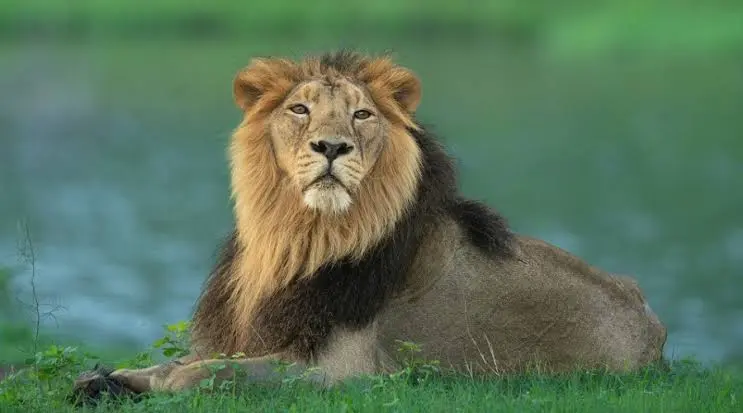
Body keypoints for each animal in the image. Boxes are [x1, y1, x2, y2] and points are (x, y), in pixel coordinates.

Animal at [71, 50, 667, 403]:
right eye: (300, 109)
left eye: (361, 115)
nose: (332, 147)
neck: (295, 238)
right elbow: (180, 361)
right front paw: (105, 380)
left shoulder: (343, 370)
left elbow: (212, 372)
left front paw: (165, 385)